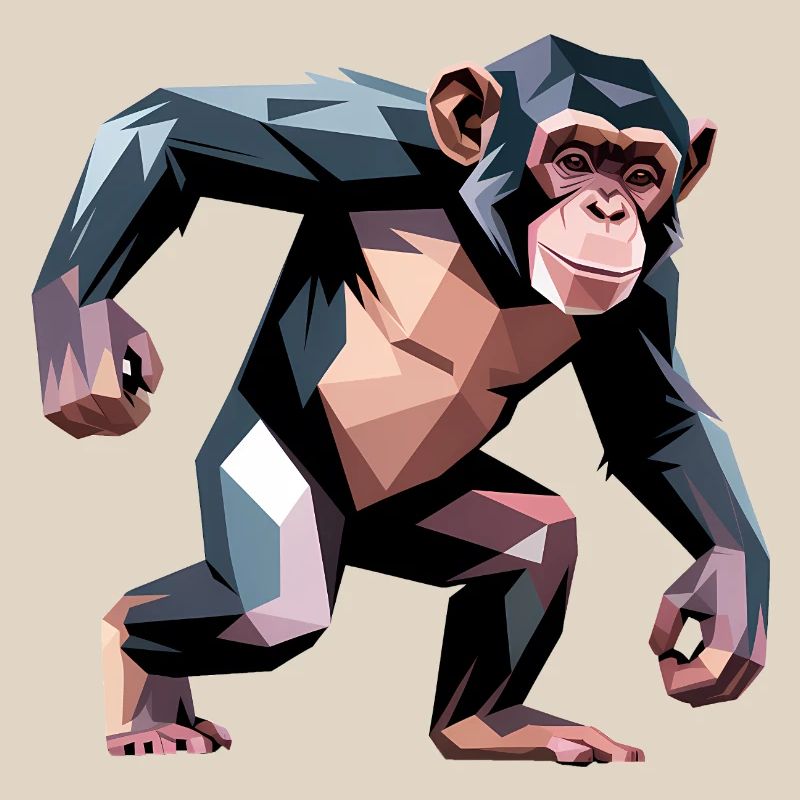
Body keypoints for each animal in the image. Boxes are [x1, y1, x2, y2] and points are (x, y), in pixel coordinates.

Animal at [32, 35, 769, 763]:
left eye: (642, 177)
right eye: (574, 161)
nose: (611, 211)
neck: (494, 252)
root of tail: (360, 534)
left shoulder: (649, 285)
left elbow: (656, 421)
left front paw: (727, 601)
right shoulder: (377, 143)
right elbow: (177, 131)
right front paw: (86, 338)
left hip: (425, 514)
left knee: (540, 541)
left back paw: (485, 726)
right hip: (274, 469)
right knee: (271, 614)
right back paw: (137, 678)